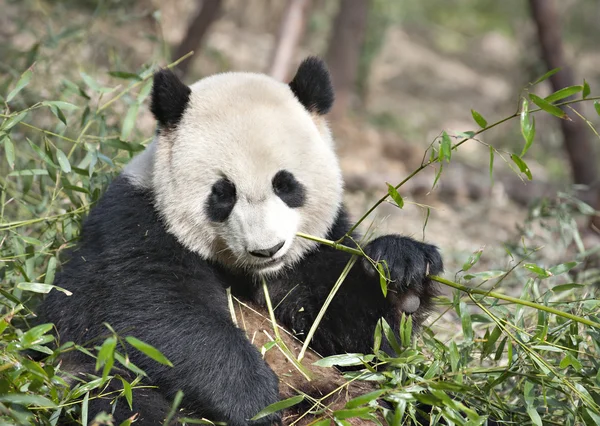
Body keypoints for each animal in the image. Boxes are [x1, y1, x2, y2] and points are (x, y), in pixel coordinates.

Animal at [37, 57, 440, 426]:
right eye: (223, 193)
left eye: (286, 184)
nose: (267, 249)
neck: (249, 271)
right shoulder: (135, 225)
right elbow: (155, 310)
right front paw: (254, 400)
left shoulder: (316, 249)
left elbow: (350, 331)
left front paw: (404, 276)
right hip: (95, 376)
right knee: (119, 399)